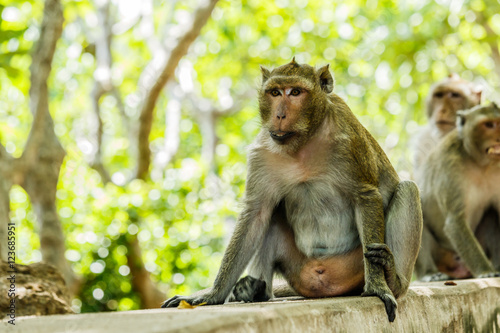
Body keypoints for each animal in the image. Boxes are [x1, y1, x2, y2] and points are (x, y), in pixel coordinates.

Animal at [161, 59, 422, 322]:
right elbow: (256, 214)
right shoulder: (262, 154)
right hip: (297, 267)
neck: (303, 143)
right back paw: (256, 291)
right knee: (271, 218)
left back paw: (393, 278)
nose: (279, 115)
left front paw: (378, 287)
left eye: (295, 92)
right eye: (275, 93)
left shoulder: (350, 143)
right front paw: (212, 294)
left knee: (408, 190)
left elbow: (366, 197)